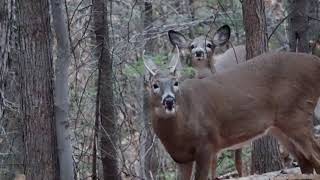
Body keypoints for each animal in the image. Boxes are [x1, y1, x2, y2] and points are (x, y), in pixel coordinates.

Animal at [144, 47, 320, 179]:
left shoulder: (207, 144)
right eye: (154, 85)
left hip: (296, 113)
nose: (169, 100)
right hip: (279, 127)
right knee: (306, 161)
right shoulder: (182, 158)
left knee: (315, 155)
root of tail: (316, 62)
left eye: (175, 82)